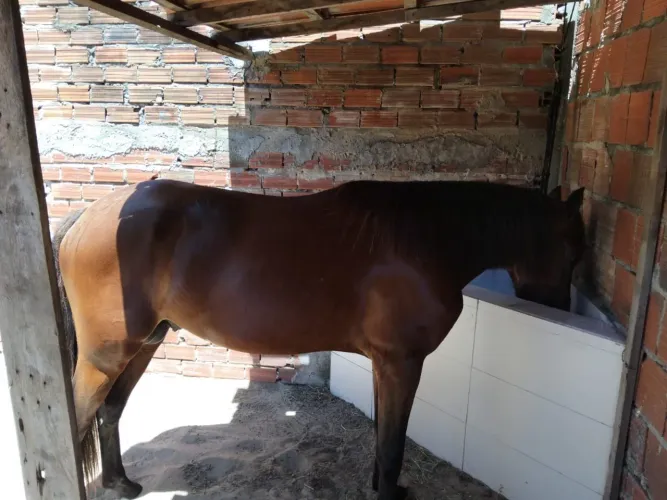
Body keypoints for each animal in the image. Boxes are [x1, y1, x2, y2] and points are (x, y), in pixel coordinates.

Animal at [51, 178, 585, 500]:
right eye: (574, 249)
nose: (560, 306)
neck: (425, 241)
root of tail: (86, 218)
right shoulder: (403, 362)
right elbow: (393, 444)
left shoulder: (385, 363)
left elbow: (383, 437)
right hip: (106, 356)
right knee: (77, 418)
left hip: (141, 345)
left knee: (110, 411)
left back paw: (120, 483)